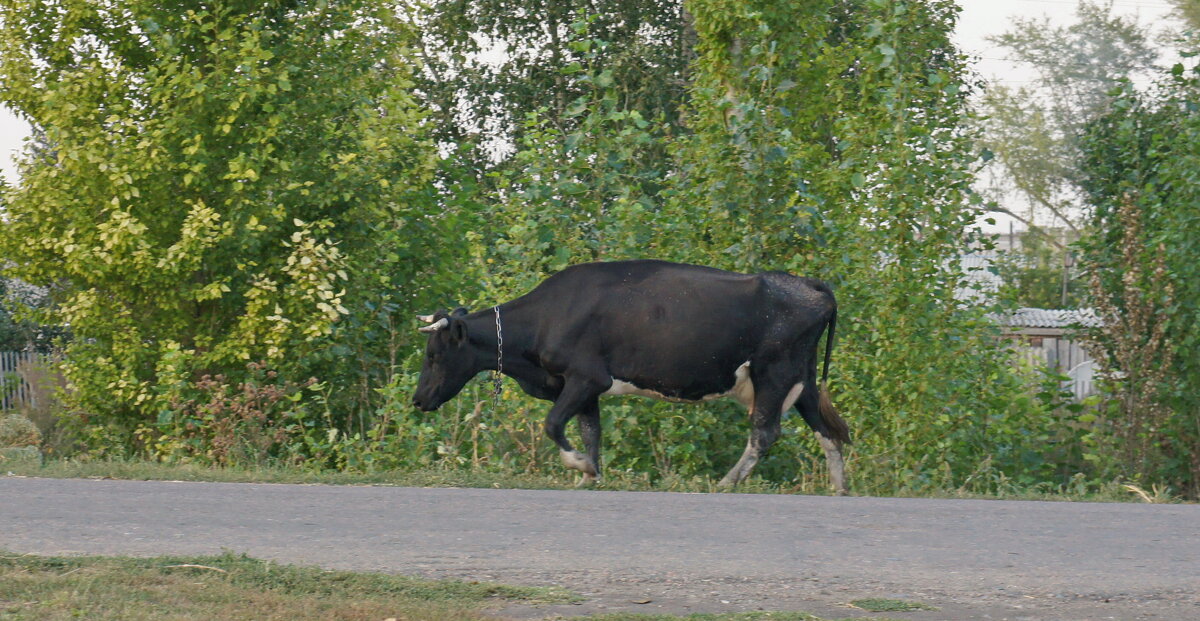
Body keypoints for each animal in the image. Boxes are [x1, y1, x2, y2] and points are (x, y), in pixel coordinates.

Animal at [412, 260, 854, 493]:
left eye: (434, 355)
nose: (417, 400)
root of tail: (810, 283)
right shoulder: (583, 388)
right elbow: (591, 432)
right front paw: (590, 474)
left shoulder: (587, 377)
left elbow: (553, 425)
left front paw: (579, 465)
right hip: (802, 380)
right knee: (826, 432)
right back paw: (839, 488)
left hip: (773, 373)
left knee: (764, 433)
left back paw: (726, 482)